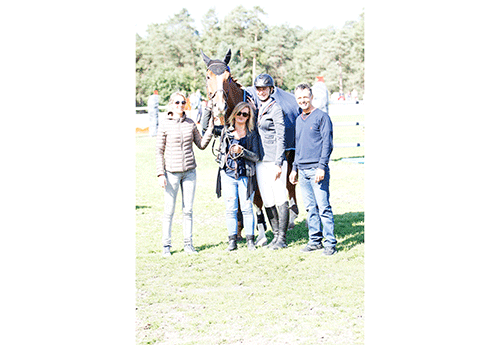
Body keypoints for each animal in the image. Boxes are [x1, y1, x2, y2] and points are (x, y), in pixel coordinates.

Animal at [200, 48, 300, 245]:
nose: (220, 106)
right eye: (208, 76)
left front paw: (260, 234)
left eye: (228, 78)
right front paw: (238, 230)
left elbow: (258, 199)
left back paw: (291, 219)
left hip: (290, 157)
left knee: (290, 186)